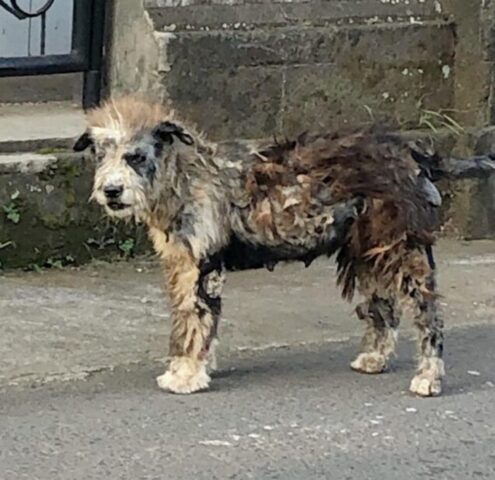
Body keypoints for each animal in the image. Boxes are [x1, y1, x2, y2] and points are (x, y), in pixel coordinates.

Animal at [73, 95, 495, 396]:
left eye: (135, 156)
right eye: (101, 154)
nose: (111, 191)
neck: (185, 178)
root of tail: (414, 155)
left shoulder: (203, 268)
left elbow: (195, 319)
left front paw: (186, 375)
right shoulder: (182, 267)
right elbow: (189, 321)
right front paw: (192, 366)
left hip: (403, 250)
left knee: (428, 315)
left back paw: (429, 377)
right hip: (368, 252)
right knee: (384, 309)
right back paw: (374, 358)